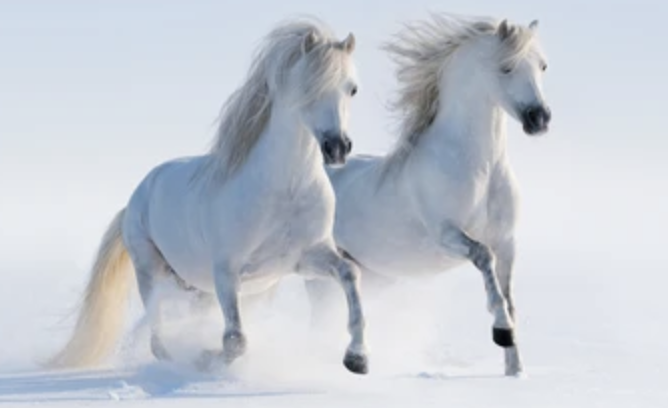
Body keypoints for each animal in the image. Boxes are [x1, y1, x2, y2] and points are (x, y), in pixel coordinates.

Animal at [46, 18, 369, 375]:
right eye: (308, 86)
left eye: (352, 89)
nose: (337, 147)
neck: (285, 190)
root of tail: (136, 198)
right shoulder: (226, 272)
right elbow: (235, 341)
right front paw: (206, 357)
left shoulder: (305, 259)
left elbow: (350, 273)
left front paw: (357, 358)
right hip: (152, 273)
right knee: (157, 338)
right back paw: (177, 360)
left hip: (193, 289)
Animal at [305, 14, 552, 377]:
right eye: (506, 67)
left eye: (543, 66)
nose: (540, 119)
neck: (481, 169)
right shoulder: (446, 235)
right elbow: (484, 259)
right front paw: (501, 332)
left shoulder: (507, 242)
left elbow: (509, 298)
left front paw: (515, 370)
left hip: (372, 275)